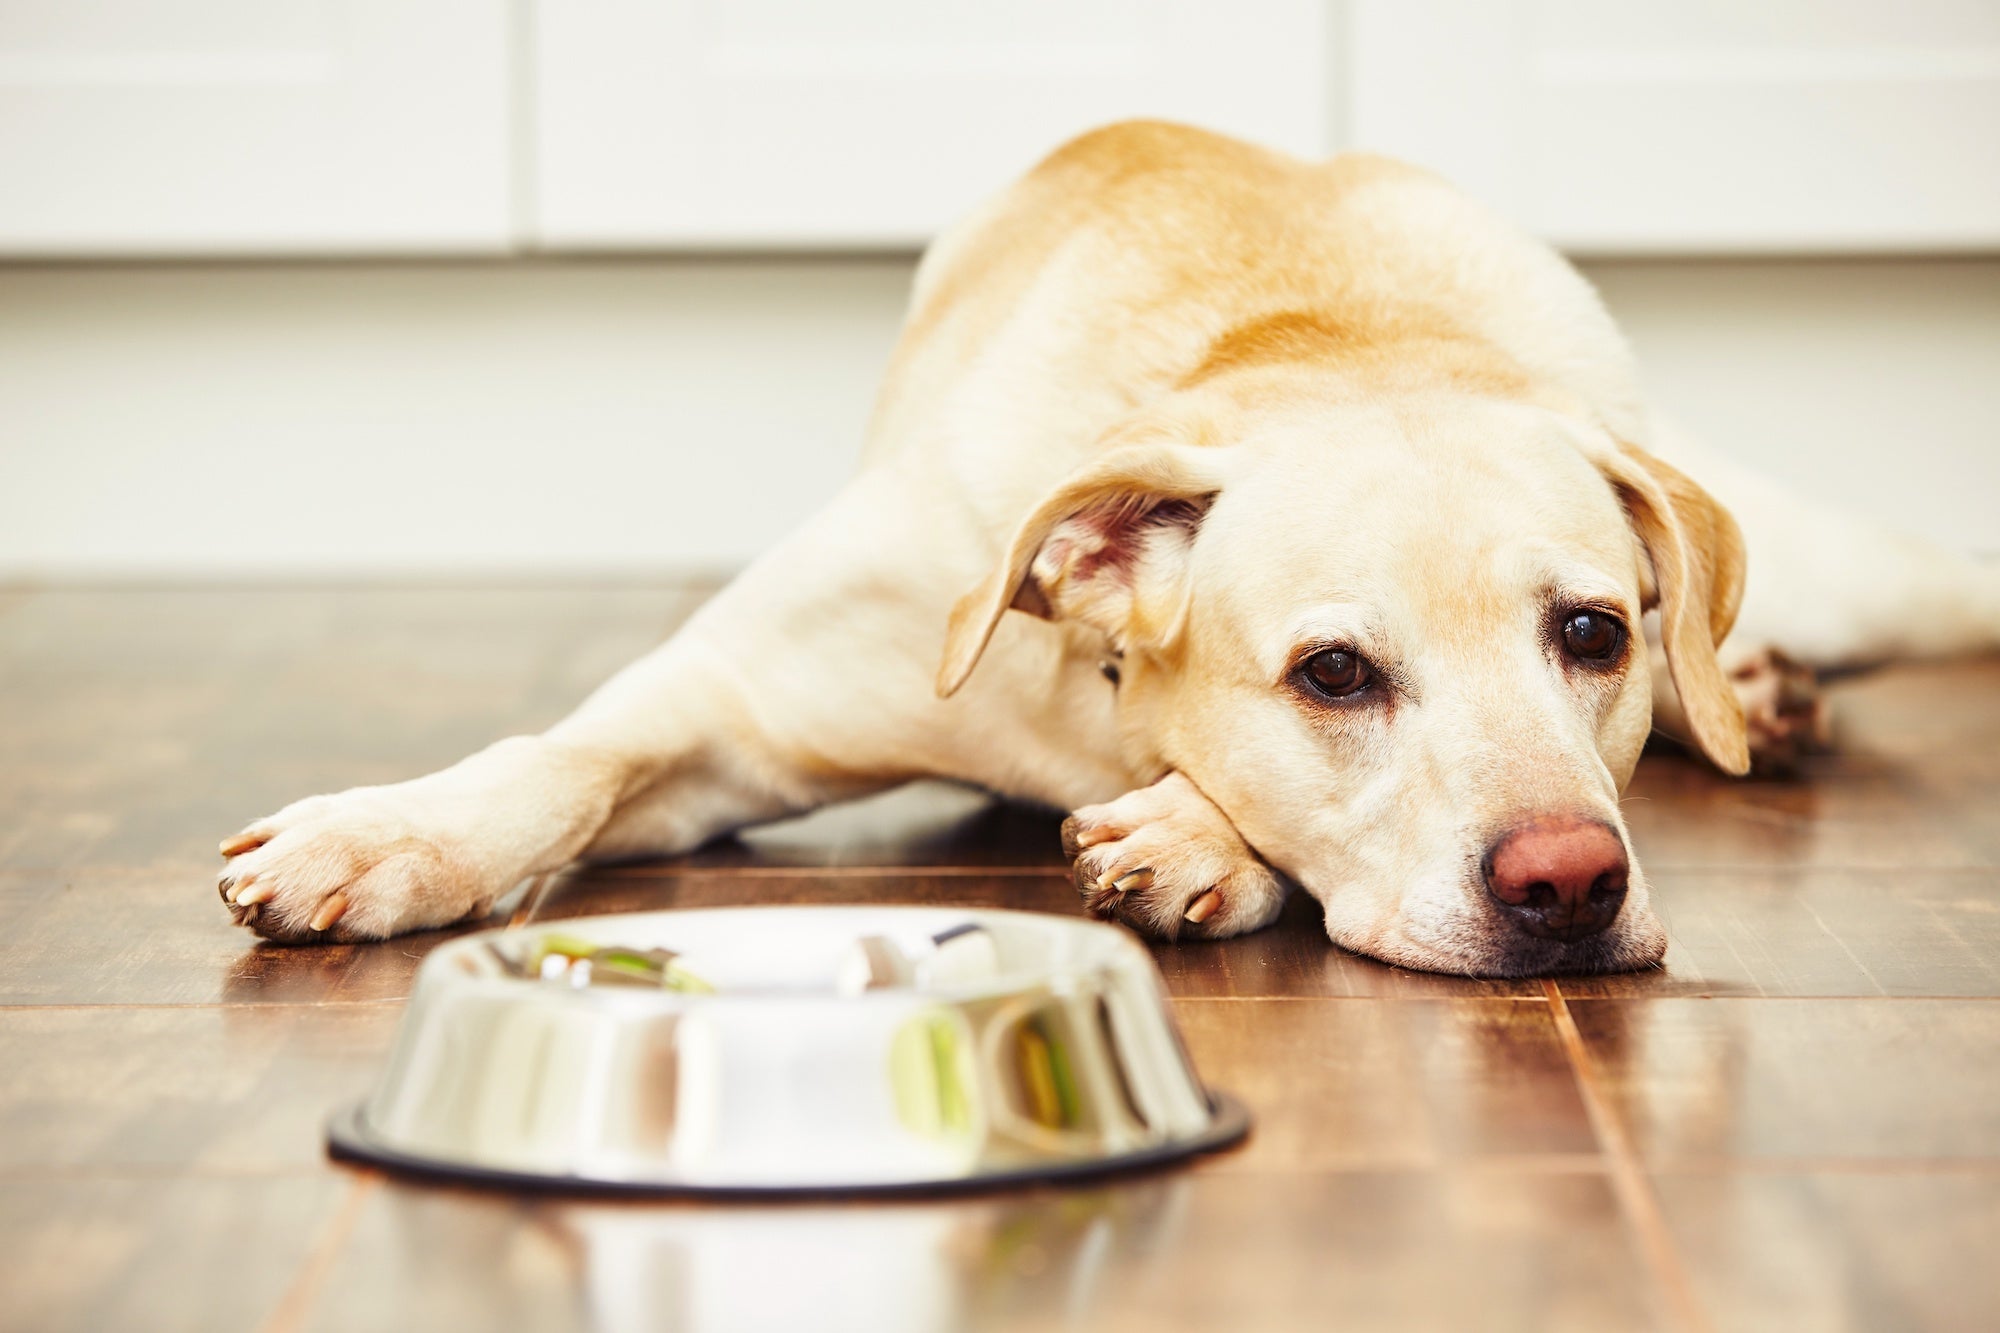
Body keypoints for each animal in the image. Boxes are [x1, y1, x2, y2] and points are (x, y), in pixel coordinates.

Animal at [207, 122, 2000, 976]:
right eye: (1334, 673)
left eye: (1593, 635)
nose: (1570, 883)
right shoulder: (731, 703)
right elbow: (564, 756)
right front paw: (390, 834)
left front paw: (1195, 834)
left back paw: (1755, 689)